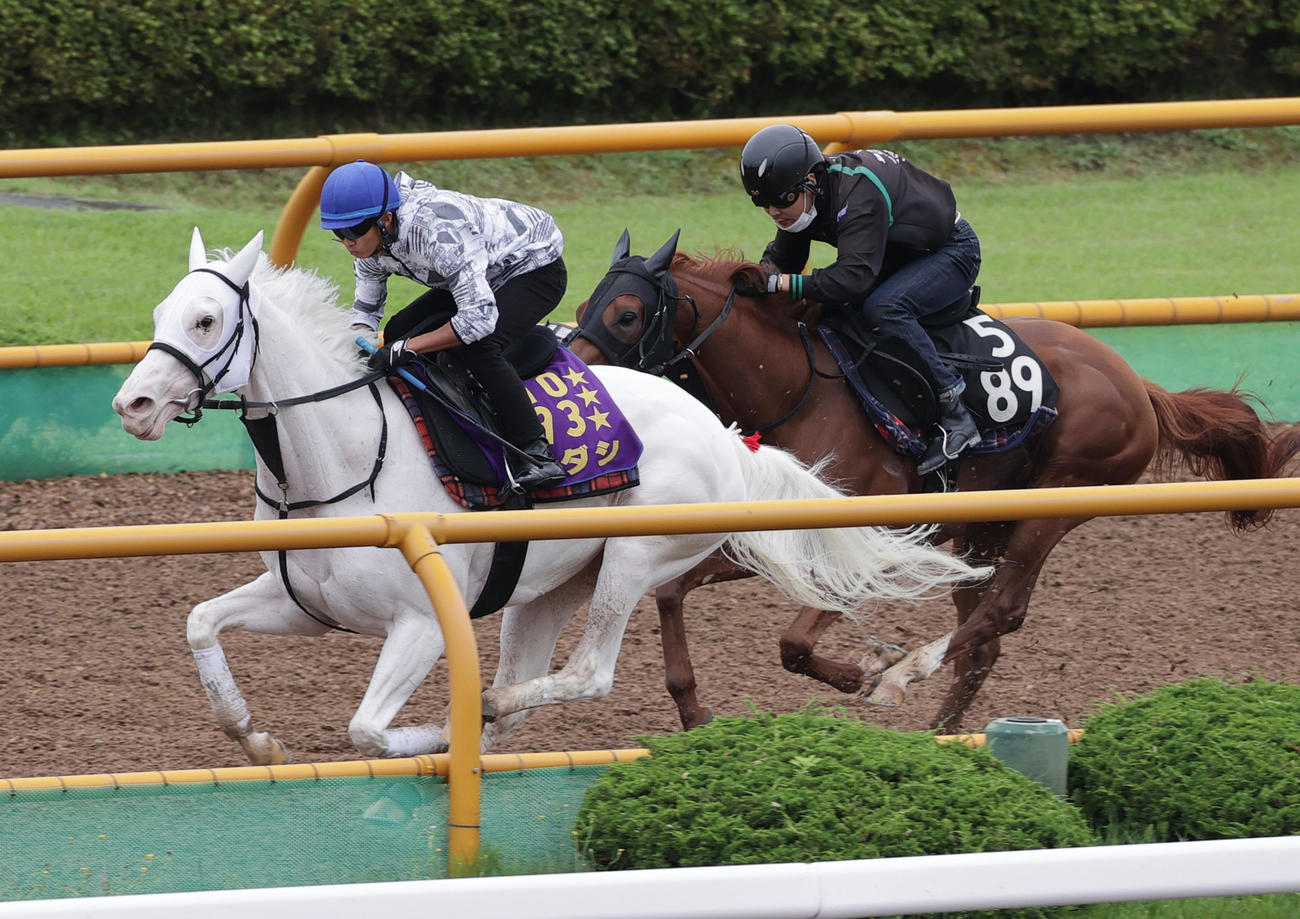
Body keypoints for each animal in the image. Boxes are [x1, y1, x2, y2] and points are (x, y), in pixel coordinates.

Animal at [110, 227, 987, 764]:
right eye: (159, 311)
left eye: (205, 319)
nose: (133, 403)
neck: (343, 455)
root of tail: (724, 433)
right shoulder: (307, 604)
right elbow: (200, 622)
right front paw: (255, 739)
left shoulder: (421, 623)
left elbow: (366, 728)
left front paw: (435, 728)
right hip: (549, 584)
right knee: (531, 683)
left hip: (635, 558)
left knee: (585, 671)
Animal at [570, 230, 1300, 732]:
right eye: (582, 303)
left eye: (627, 314)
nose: (579, 385)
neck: (799, 391)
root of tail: (1139, 384)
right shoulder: (776, 533)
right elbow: (672, 593)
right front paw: (694, 712)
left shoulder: (866, 543)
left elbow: (794, 642)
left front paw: (867, 672)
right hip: (981, 532)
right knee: (984, 635)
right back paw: (941, 737)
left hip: (1054, 506)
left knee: (1000, 612)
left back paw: (906, 675)